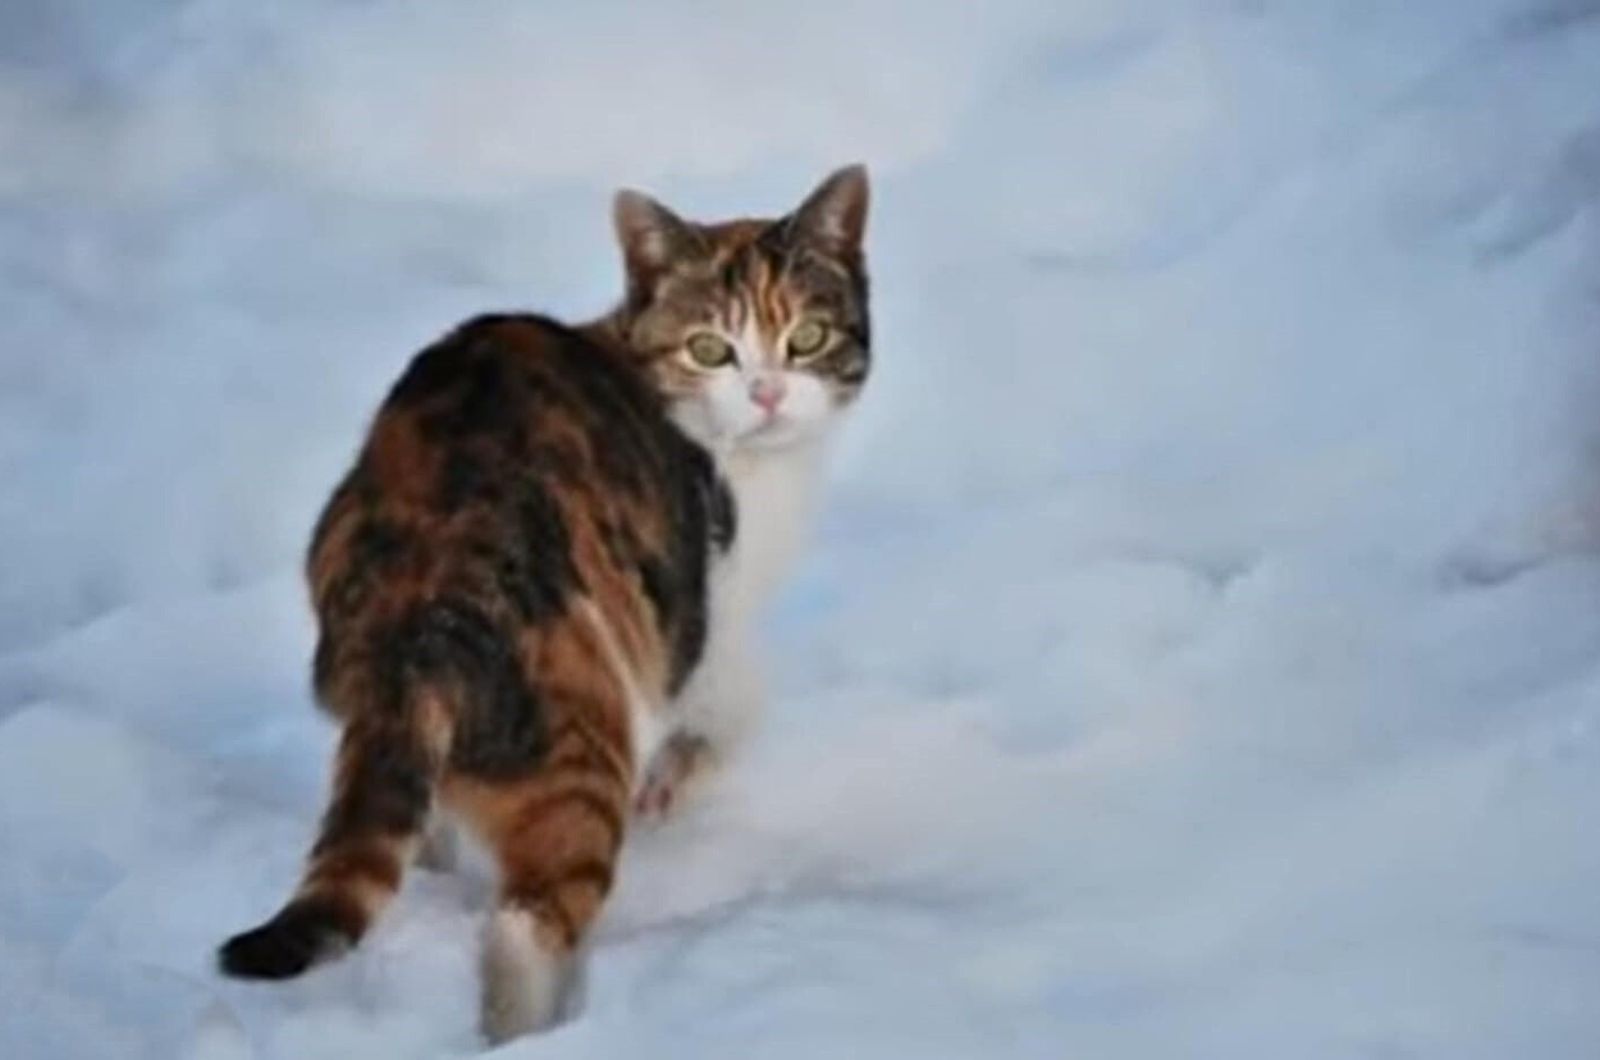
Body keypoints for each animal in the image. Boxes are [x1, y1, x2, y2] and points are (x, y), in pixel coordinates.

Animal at [217, 168, 870, 1043]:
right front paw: (673, 781)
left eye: (806, 338)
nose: (767, 394)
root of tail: (423, 605)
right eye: (710, 349)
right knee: (528, 920)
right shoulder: (705, 612)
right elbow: (734, 706)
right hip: (578, 732)